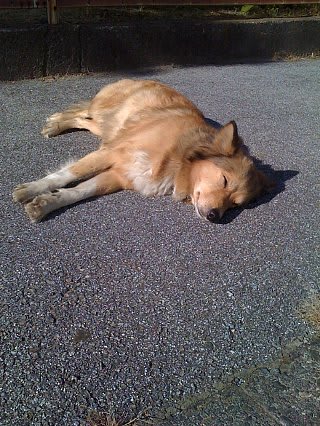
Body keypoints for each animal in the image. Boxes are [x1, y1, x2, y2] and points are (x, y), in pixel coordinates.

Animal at [12, 79, 272, 223]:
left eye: (235, 205)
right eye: (224, 180)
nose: (214, 218)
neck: (178, 159)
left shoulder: (120, 175)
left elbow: (79, 191)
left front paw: (45, 204)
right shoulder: (112, 152)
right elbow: (67, 175)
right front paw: (32, 189)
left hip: (108, 127)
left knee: (82, 119)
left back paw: (56, 124)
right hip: (105, 117)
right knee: (82, 112)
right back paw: (55, 123)